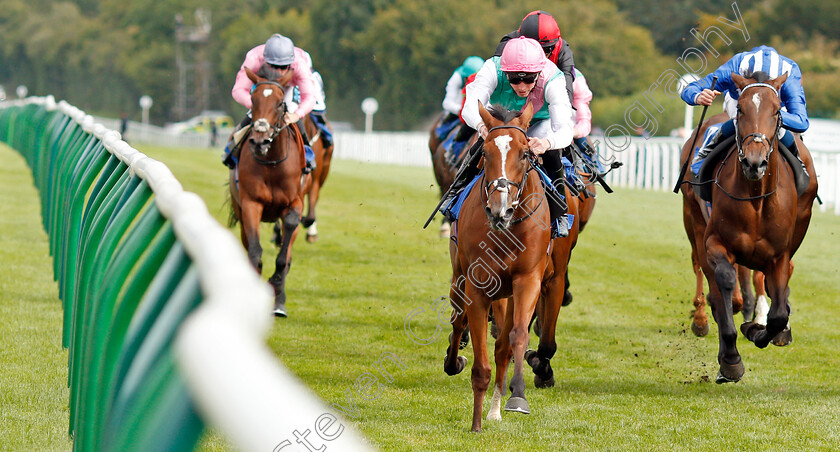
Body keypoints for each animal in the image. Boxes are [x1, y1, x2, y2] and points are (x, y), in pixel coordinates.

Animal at [230, 66, 312, 318]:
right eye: (253, 100)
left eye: (278, 103)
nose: (260, 141)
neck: (272, 164)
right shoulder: (250, 204)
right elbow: (255, 252)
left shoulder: (295, 203)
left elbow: (283, 257)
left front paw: (276, 288)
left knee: (289, 251)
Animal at [446, 102, 576, 430]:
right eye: (485, 152)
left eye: (525, 153)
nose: (499, 210)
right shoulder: (478, 285)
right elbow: (480, 361)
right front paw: (476, 424)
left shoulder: (528, 280)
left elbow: (516, 337)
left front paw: (516, 397)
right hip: (458, 278)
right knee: (457, 320)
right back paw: (453, 361)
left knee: (503, 345)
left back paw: (495, 408)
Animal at [680, 72, 816, 384]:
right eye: (740, 110)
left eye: (777, 111)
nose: (755, 162)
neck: (756, 197)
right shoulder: (716, 243)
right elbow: (725, 286)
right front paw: (731, 360)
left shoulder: (779, 255)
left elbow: (778, 312)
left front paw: (759, 328)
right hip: (692, 219)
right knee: (705, 273)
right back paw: (703, 320)